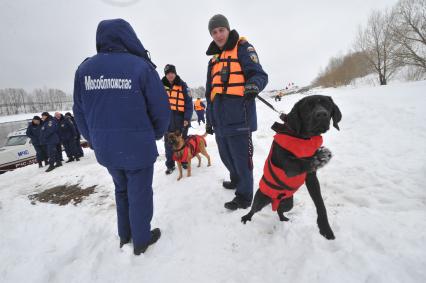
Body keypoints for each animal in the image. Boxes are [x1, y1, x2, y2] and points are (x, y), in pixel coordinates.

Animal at [241, 96, 342, 242]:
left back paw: (283, 219)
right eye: (307, 106)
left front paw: (325, 229)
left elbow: (320, 204)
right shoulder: (289, 166)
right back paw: (246, 218)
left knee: (279, 210)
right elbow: (300, 162)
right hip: (261, 199)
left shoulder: (311, 178)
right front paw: (320, 157)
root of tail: (275, 200)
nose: (322, 114)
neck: (304, 138)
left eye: (327, 104)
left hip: (288, 203)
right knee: (253, 209)